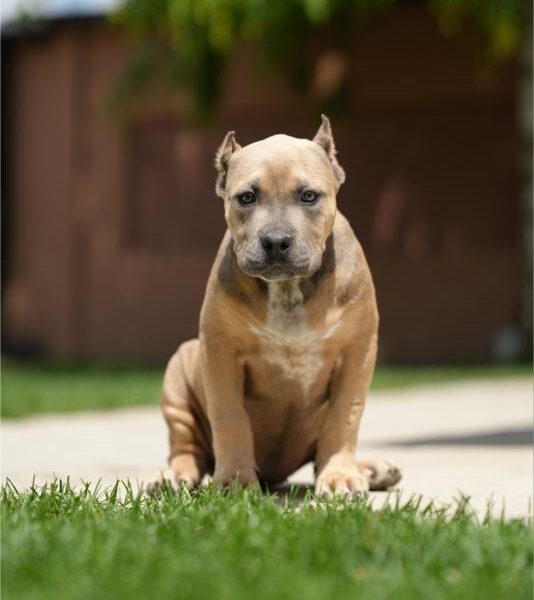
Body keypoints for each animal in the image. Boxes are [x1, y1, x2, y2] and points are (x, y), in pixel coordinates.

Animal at [149, 116, 400, 496]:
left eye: (309, 196)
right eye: (247, 197)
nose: (277, 241)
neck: (287, 290)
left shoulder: (358, 351)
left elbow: (345, 415)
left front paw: (340, 475)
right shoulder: (219, 351)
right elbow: (229, 416)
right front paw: (234, 480)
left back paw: (371, 469)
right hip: (181, 369)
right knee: (186, 446)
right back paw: (174, 476)